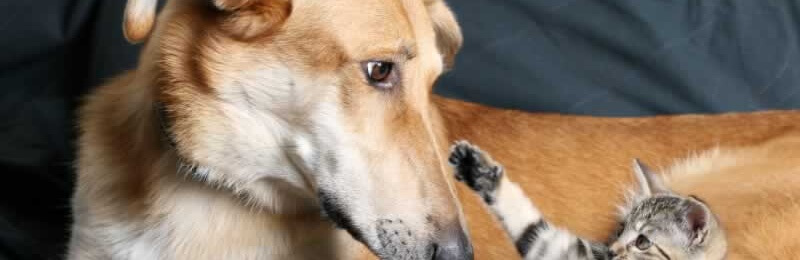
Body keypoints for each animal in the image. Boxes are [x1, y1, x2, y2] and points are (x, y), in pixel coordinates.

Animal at [446, 142, 728, 260]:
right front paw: (478, 170)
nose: (611, 250)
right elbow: (532, 227)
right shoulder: (559, 249)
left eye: (642, 242)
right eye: (620, 229)